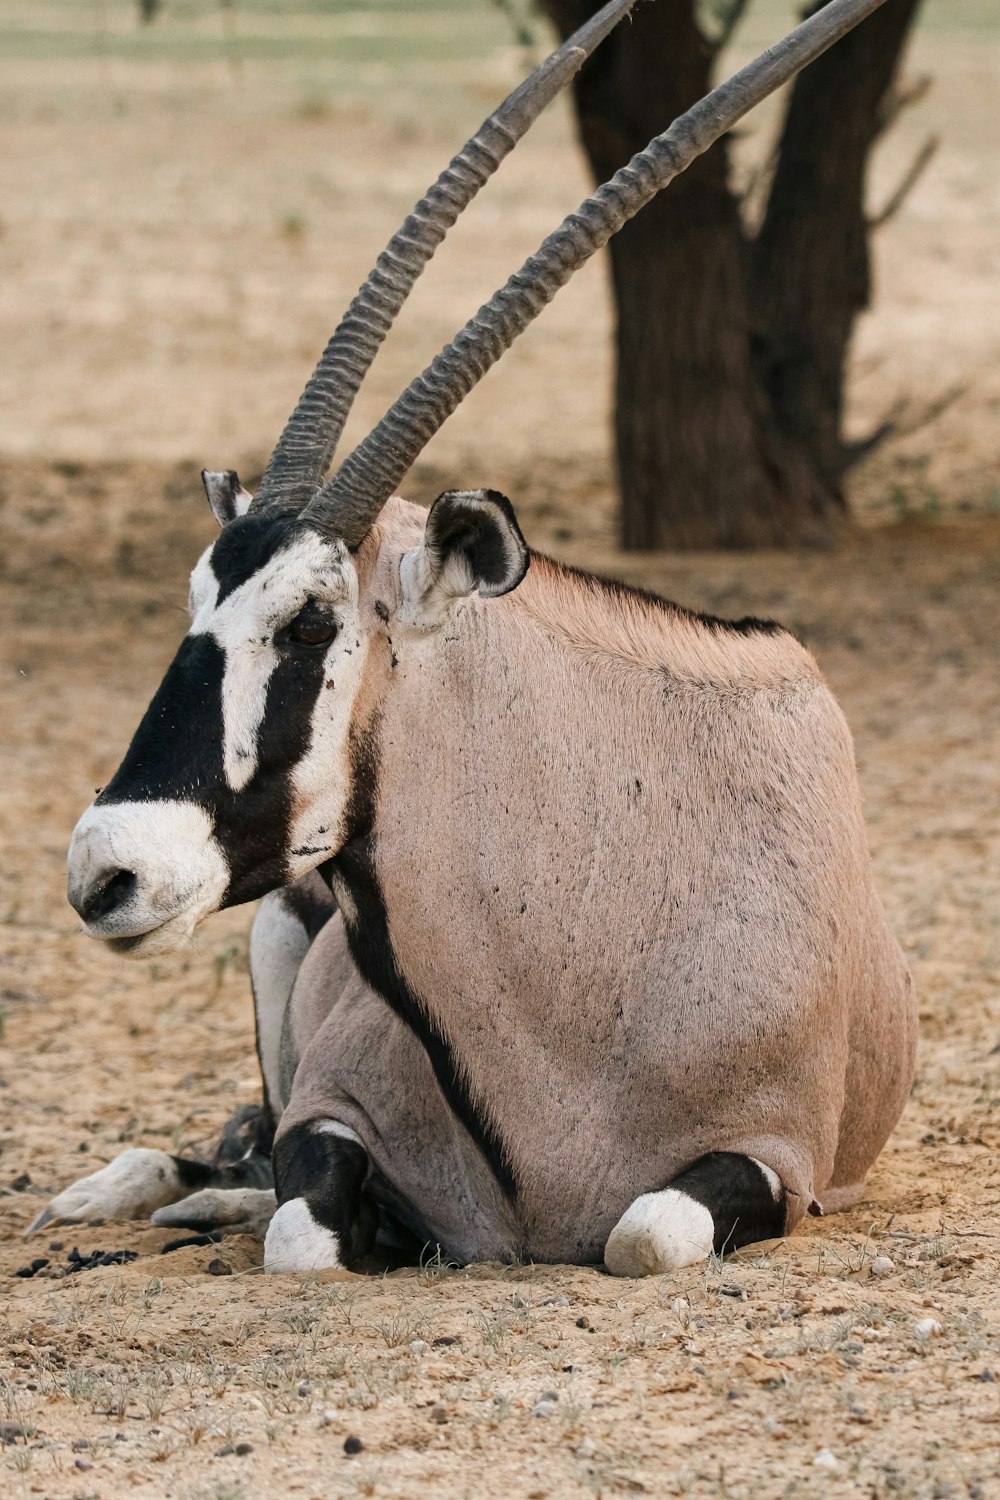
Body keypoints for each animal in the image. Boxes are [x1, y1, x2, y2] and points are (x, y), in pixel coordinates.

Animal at [35, 0, 917, 1278]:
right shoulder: (330, 1112)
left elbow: (644, 1232)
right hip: (273, 949)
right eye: (198, 598)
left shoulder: (775, 1159)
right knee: (231, 1153)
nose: (107, 872)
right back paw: (150, 1196)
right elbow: (300, 1225)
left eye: (311, 620)